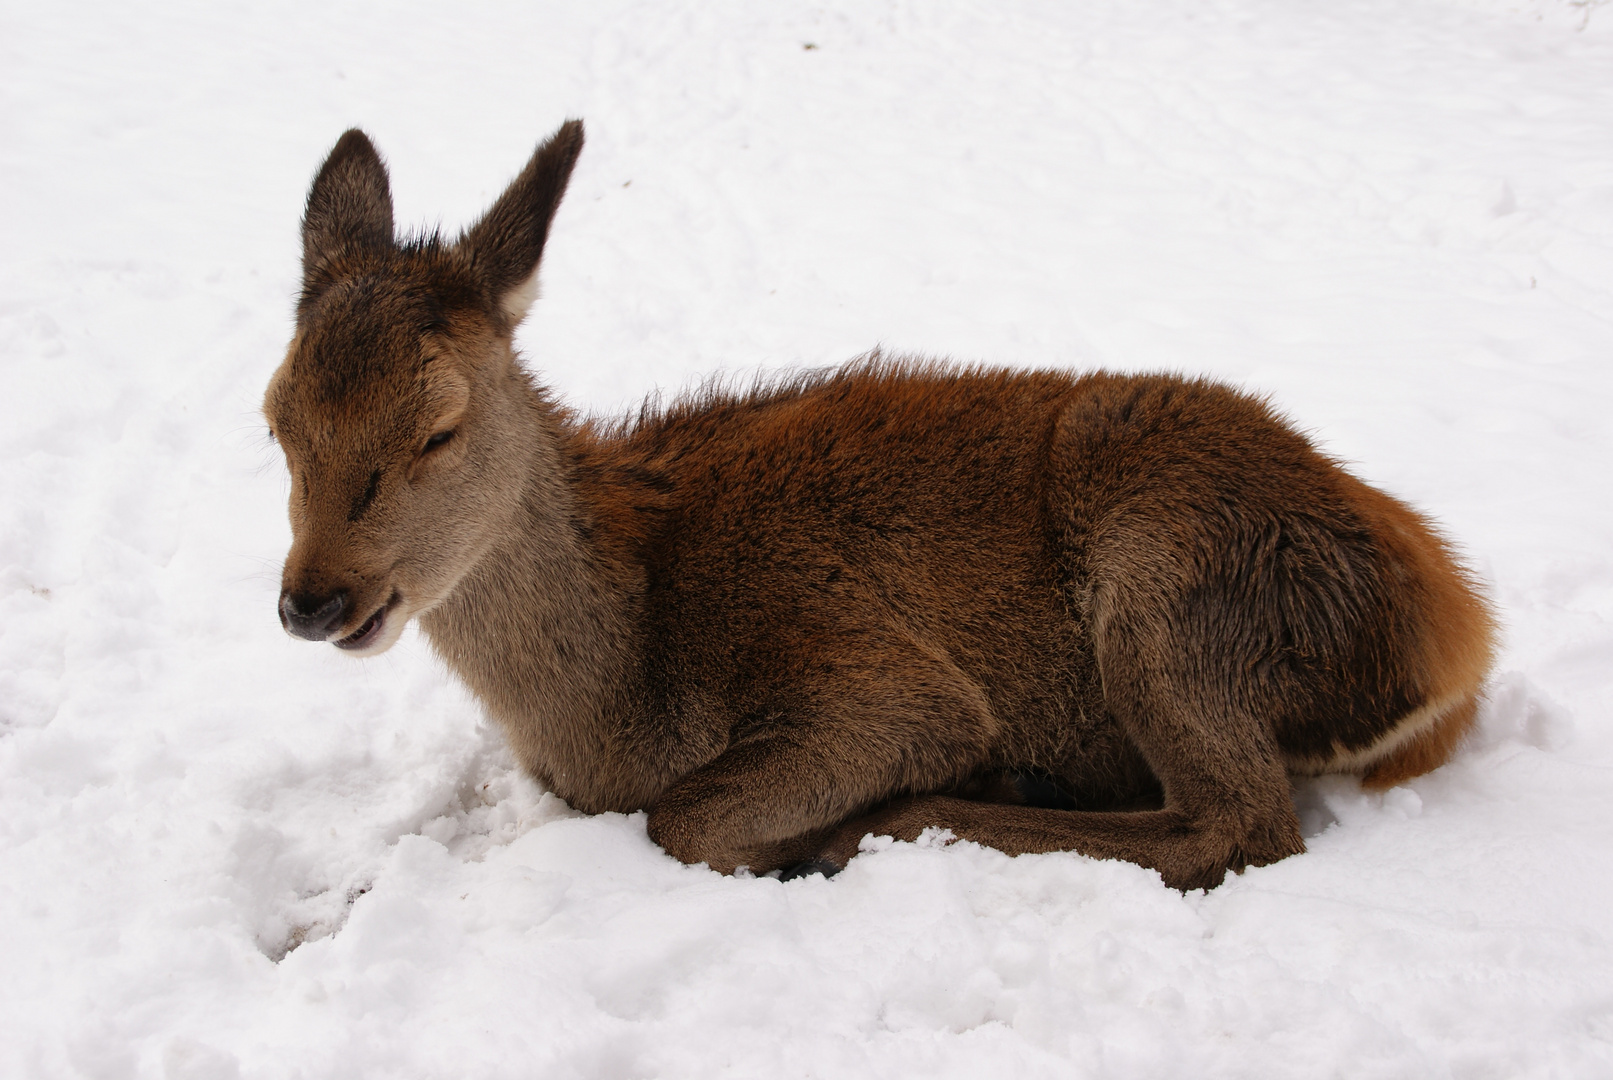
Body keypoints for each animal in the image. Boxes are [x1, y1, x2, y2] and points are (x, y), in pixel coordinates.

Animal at [267, 122, 1496, 889]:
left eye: (437, 427)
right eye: (277, 419)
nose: (311, 600)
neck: (614, 691)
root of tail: (1456, 635)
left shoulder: (876, 674)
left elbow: (686, 814)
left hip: (1171, 571)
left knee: (1240, 822)